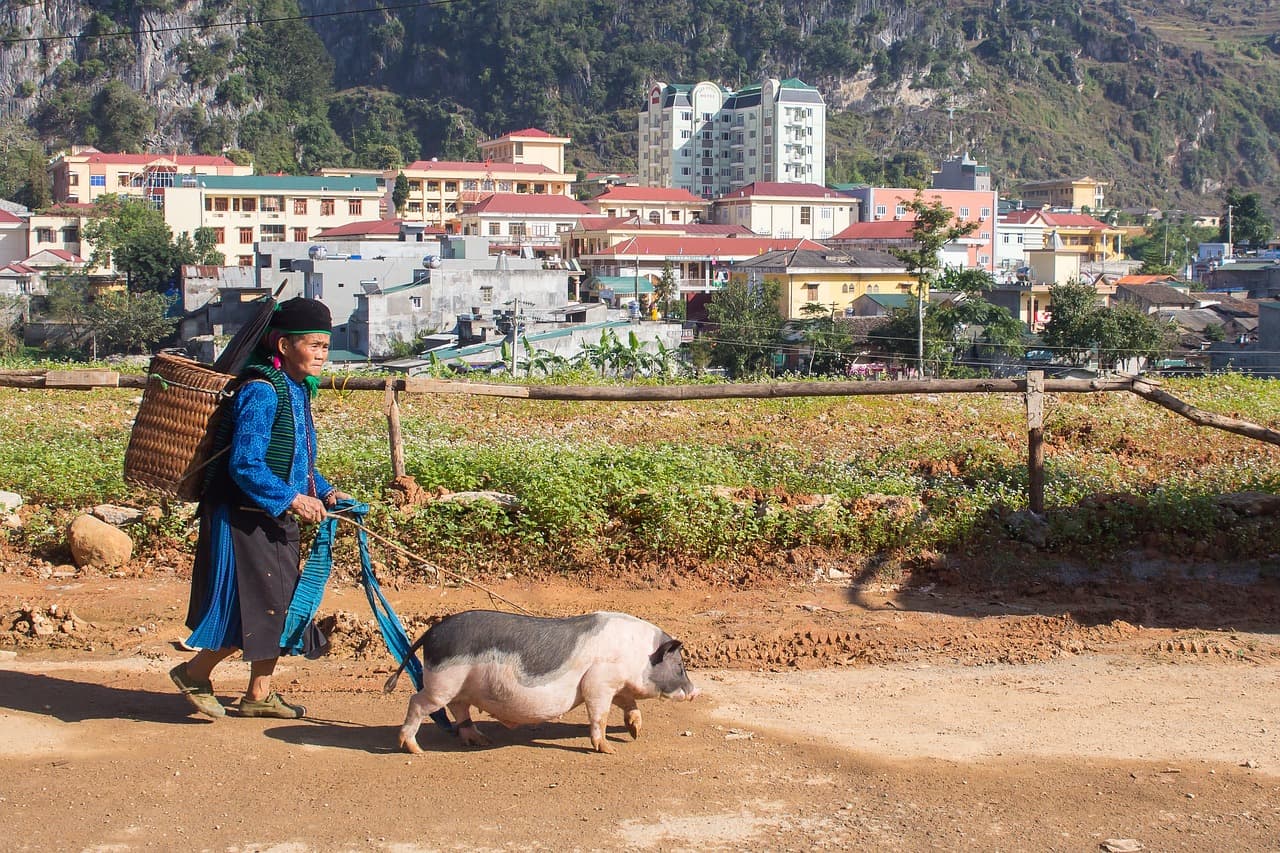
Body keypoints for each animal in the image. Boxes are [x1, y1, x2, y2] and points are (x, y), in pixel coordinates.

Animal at [381, 607, 701, 753]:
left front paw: (635, 732)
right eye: (680, 666)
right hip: (442, 683)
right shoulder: (598, 682)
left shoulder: (615, 683)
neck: (637, 655)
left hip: (458, 686)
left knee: (460, 709)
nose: (695, 691)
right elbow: (599, 714)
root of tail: (432, 631)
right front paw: (609, 750)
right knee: (418, 702)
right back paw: (415, 749)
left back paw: (480, 740)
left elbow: (629, 703)